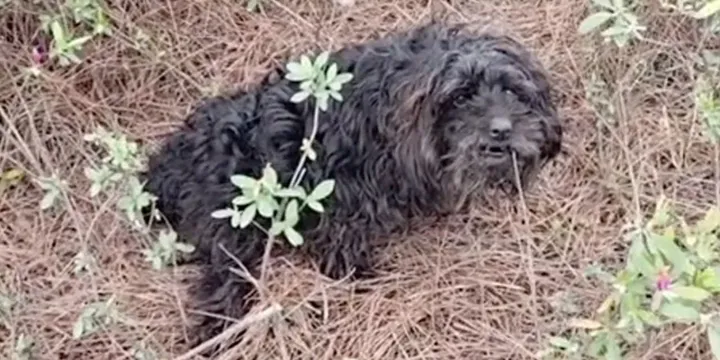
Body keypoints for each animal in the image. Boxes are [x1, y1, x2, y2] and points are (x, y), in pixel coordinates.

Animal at [141, 20, 564, 352]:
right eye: (460, 97)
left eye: (511, 91)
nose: (502, 129)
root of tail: (167, 165)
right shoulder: (342, 198)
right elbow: (343, 245)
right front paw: (361, 278)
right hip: (234, 218)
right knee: (222, 277)